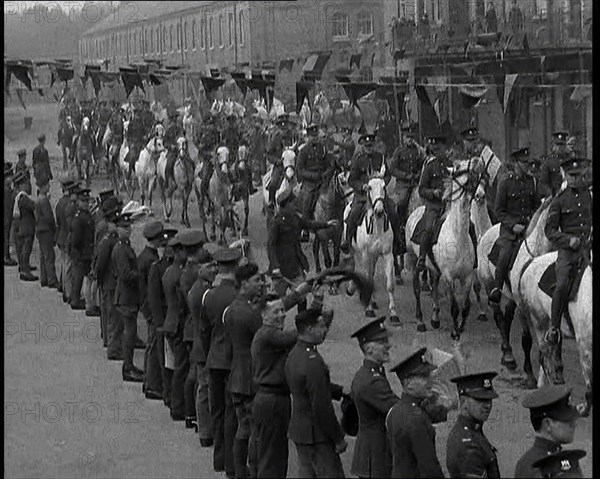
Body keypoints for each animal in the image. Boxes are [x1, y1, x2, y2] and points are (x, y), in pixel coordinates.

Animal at [342, 172, 398, 322]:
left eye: (384, 187)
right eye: (369, 187)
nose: (379, 211)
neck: (377, 226)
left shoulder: (388, 254)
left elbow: (390, 285)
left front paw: (393, 313)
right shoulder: (366, 254)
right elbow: (367, 279)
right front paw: (369, 309)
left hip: (374, 256)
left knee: (371, 274)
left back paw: (372, 301)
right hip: (353, 250)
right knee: (353, 264)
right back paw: (352, 289)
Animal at [406, 157, 486, 338]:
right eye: (459, 167)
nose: (477, 161)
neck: (457, 235)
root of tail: (416, 211)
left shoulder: (467, 276)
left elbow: (466, 306)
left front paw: (461, 327)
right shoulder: (449, 276)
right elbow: (454, 307)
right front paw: (455, 332)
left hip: (434, 268)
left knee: (434, 284)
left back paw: (435, 318)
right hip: (414, 259)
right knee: (416, 288)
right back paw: (420, 321)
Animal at [478, 200, 552, 382]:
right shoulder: (523, 307)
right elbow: (527, 339)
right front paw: (530, 373)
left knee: (506, 319)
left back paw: (507, 352)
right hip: (490, 284)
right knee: (499, 317)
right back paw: (508, 355)